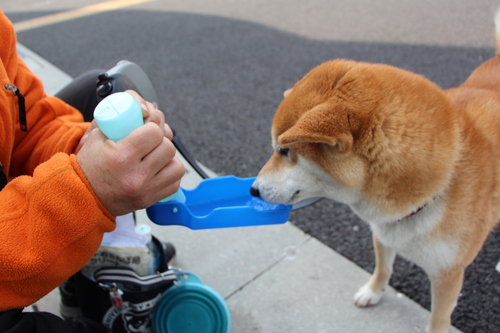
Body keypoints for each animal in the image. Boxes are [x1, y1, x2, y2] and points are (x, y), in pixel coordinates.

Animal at [252, 10, 500, 332]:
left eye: (283, 150)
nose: (252, 189)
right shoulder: (383, 233)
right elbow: (383, 267)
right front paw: (373, 292)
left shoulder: (448, 274)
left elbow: (438, 318)